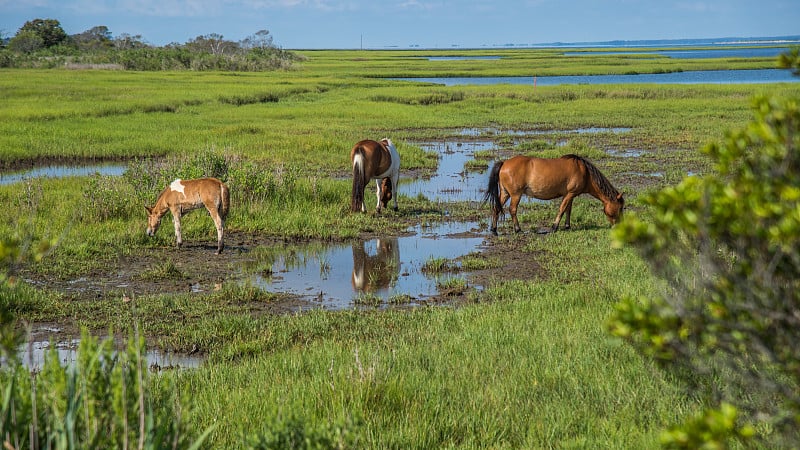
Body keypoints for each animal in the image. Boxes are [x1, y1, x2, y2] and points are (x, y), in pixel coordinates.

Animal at [482, 154, 624, 234]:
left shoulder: (570, 195)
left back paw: (494, 230)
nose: (619, 226)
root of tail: (504, 163)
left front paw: (567, 226)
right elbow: (562, 209)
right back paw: (518, 230)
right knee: (512, 210)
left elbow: (568, 210)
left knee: (496, 208)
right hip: (516, 194)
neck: (585, 172)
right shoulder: (570, 194)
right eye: (621, 207)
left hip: (505, 193)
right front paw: (554, 227)